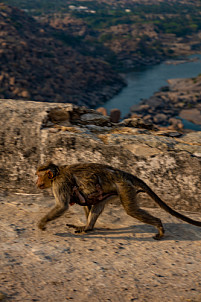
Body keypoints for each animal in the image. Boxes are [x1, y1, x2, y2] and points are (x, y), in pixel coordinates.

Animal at [35, 162, 200, 239]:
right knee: (97, 205)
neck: (57, 174)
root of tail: (123, 174)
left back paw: (159, 225)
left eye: (38, 176)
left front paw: (42, 223)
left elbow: (62, 206)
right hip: (113, 192)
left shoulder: (60, 184)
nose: (36, 182)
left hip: (124, 188)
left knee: (131, 209)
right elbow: (86, 203)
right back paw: (89, 227)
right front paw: (85, 226)